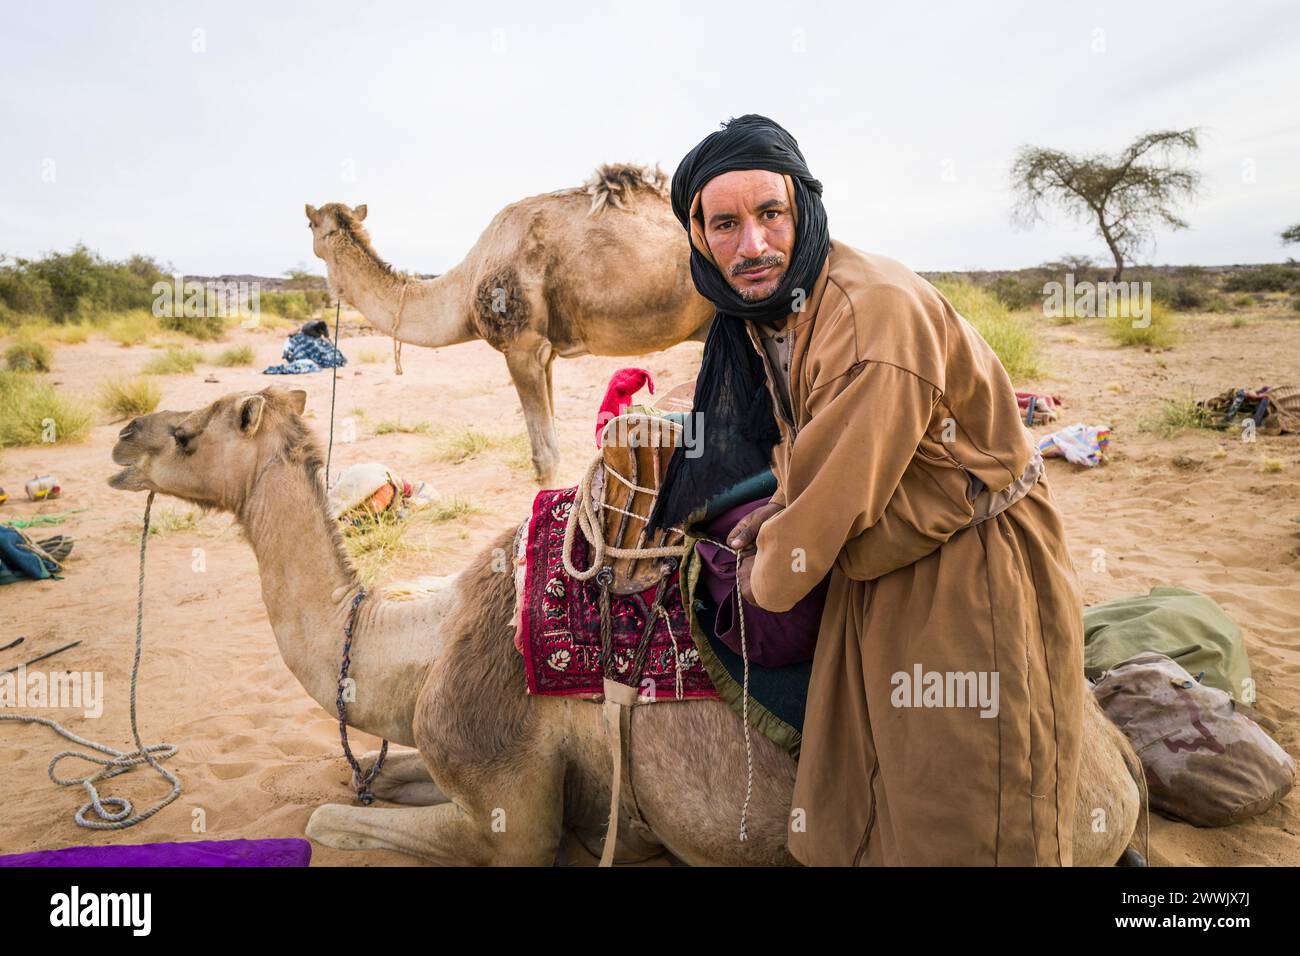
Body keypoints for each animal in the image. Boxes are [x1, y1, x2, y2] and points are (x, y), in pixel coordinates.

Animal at [111, 387, 1149, 868]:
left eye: (199, 428)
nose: (125, 435)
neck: (421, 650)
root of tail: (1120, 772)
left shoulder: (509, 811)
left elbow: (328, 818)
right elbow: (362, 779)